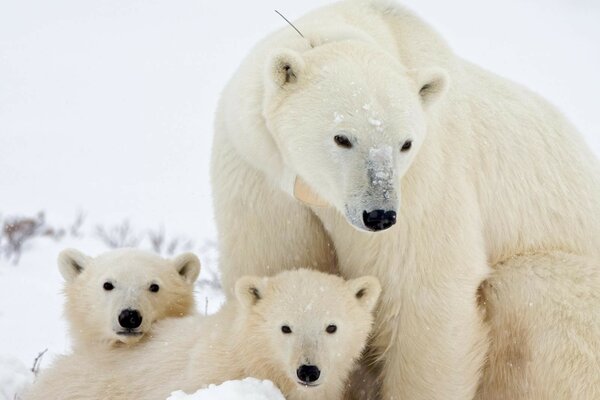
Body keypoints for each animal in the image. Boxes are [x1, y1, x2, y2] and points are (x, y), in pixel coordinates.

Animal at [210, 1, 600, 398]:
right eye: (342, 137)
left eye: (405, 143)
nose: (379, 215)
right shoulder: (259, 172)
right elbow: (277, 262)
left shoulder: (425, 179)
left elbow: (421, 289)